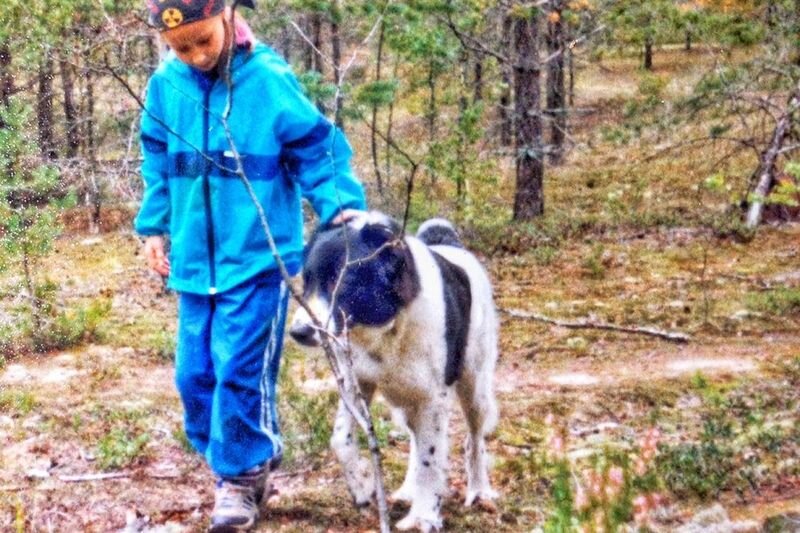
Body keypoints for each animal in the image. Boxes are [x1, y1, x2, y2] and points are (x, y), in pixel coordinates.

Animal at [290, 212, 496, 532]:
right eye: (307, 279)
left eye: (340, 278)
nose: (298, 332)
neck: (388, 325)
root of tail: (453, 245)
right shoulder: (357, 382)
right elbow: (340, 439)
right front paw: (362, 487)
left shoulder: (433, 399)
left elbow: (431, 458)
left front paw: (424, 515)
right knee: (415, 439)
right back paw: (410, 489)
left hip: (474, 387)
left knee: (473, 439)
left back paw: (478, 489)